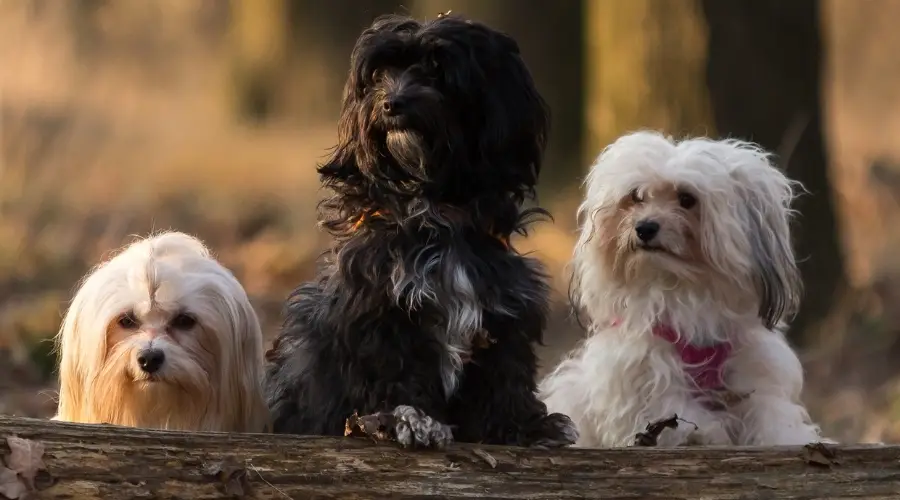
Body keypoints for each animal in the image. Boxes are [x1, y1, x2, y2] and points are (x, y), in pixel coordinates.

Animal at [264, 12, 580, 450]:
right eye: (380, 74)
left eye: (436, 69)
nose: (391, 103)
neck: (436, 211)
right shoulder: (380, 308)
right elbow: (394, 371)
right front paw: (407, 419)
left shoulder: (503, 303)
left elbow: (506, 370)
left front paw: (524, 427)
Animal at [536, 131, 828, 448]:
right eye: (635, 197)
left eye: (687, 199)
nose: (645, 227)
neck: (683, 287)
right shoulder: (645, 373)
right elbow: (680, 416)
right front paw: (709, 433)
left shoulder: (756, 370)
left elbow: (769, 415)